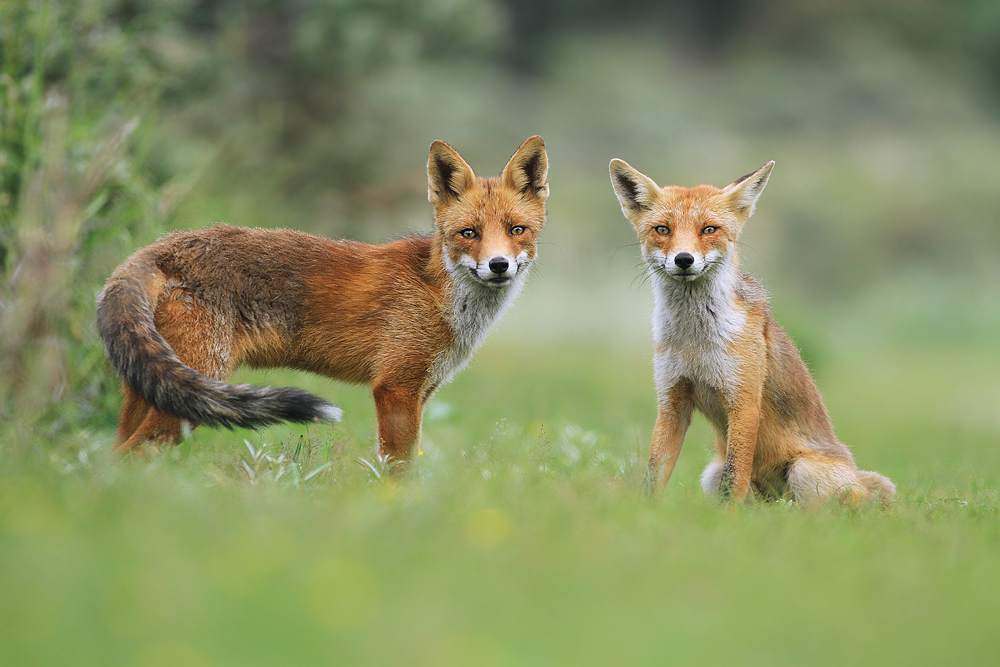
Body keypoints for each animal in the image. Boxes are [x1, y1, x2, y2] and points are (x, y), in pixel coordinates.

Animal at [98, 135, 552, 460]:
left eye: (517, 230)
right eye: (468, 233)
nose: (498, 265)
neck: (440, 295)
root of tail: (161, 247)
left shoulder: (423, 391)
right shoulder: (395, 388)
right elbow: (398, 472)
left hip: (151, 389)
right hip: (192, 391)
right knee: (129, 455)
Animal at [608, 159, 900, 504]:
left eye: (709, 229)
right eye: (662, 229)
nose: (683, 259)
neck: (696, 342)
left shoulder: (744, 403)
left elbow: (735, 479)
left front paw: (728, 518)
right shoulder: (671, 401)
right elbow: (654, 474)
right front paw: (647, 508)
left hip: (803, 472)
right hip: (710, 474)